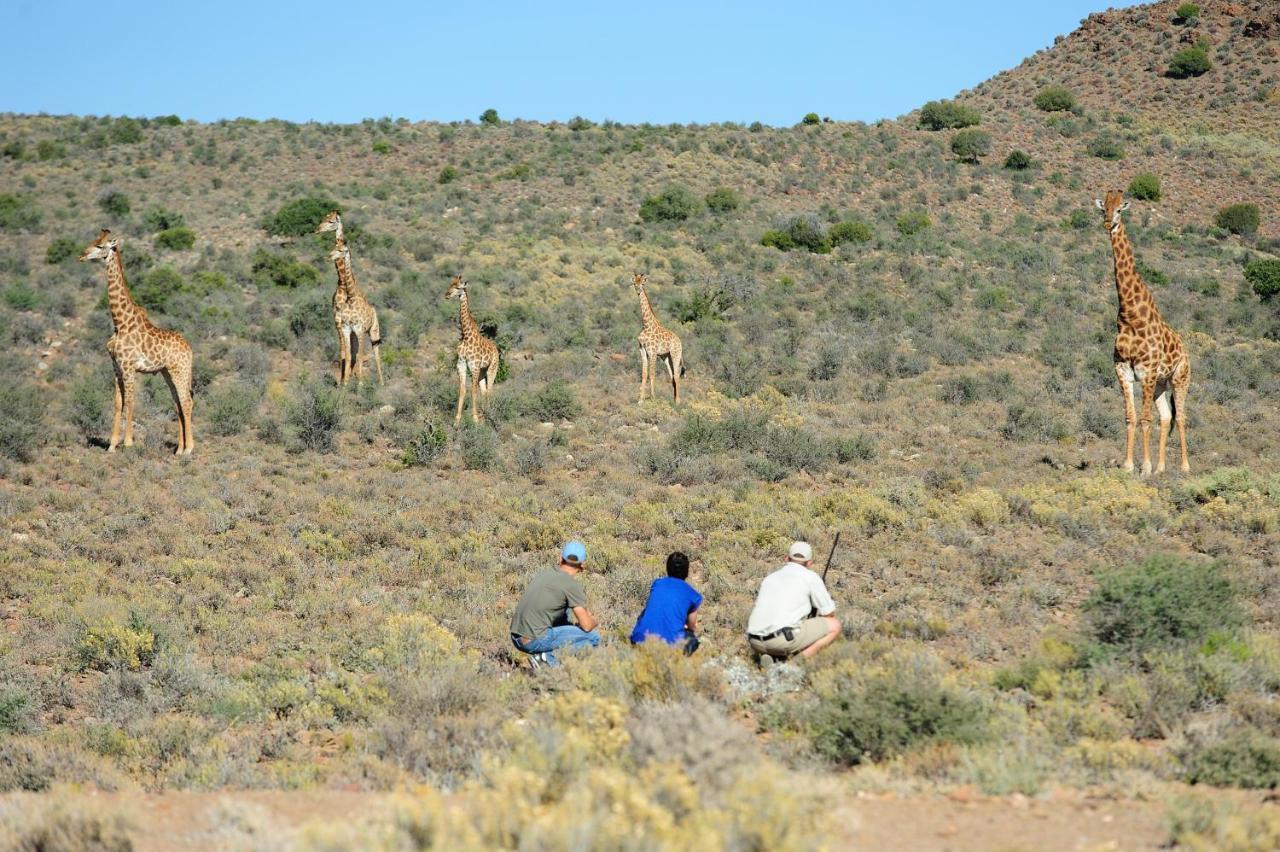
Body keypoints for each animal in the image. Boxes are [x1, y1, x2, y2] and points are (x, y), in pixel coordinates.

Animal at [78, 225, 194, 450]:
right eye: (93, 241)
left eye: (100, 245)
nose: (81, 255)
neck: (120, 322)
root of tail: (190, 349)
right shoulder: (116, 366)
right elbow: (118, 402)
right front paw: (112, 445)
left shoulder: (129, 366)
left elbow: (131, 401)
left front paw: (129, 442)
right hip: (167, 372)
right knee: (177, 402)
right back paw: (179, 450)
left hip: (180, 371)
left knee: (186, 401)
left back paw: (190, 448)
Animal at [317, 213, 381, 386]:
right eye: (324, 218)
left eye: (331, 221)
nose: (317, 229)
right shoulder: (340, 323)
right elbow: (345, 351)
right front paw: (344, 382)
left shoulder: (353, 327)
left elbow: (354, 353)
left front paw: (357, 382)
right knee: (353, 351)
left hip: (373, 331)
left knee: (375, 352)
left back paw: (378, 382)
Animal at [442, 273, 496, 422]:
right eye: (450, 284)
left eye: (458, 287)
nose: (447, 295)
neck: (466, 336)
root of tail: (496, 349)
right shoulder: (461, 364)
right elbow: (462, 390)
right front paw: (457, 420)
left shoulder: (474, 366)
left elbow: (473, 389)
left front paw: (475, 418)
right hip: (483, 371)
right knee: (484, 390)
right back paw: (484, 412)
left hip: (492, 368)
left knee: (490, 389)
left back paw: (487, 414)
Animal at [627, 273, 680, 404]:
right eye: (634, 283)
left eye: (643, 283)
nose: (638, 290)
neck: (646, 325)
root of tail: (679, 341)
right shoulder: (642, 350)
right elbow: (644, 374)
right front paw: (640, 400)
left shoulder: (653, 351)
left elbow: (652, 374)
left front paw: (653, 397)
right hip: (666, 357)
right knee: (672, 375)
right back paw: (674, 399)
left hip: (676, 353)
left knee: (676, 375)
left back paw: (678, 401)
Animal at [1095, 188, 1192, 473]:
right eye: (1103, 208)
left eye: (1119, 210)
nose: (1108, 224)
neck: (1130, 315)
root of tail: (1185, 350)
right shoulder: (1123, 370)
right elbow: (1131, 416)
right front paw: (1129, 465)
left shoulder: (1147, 372)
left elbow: (1145, 419)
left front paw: (1145, 467)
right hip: (1160, 384)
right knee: (1167, 416)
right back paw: (1161, 468)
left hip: (1180, 379)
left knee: (1181, 417)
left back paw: (1184, 466)